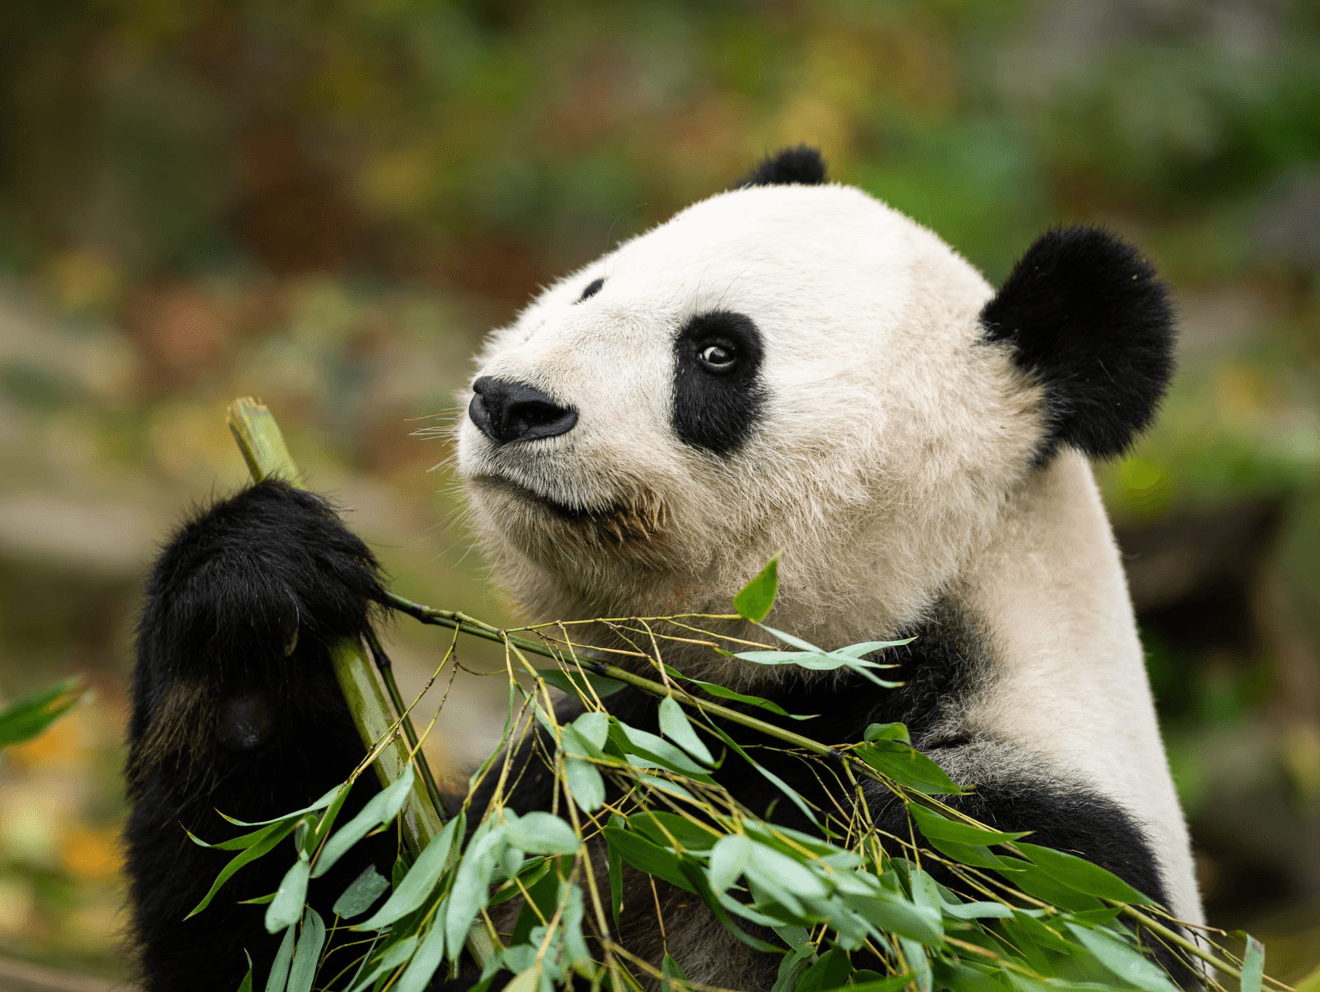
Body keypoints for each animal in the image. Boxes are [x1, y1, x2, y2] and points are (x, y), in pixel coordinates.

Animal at [124, 146, 1202, 992]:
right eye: (592, 289)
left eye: (718, 352)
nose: (510, 402)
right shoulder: (574, 776)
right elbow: (304, 918)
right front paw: (257, 588)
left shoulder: (1014, 854)